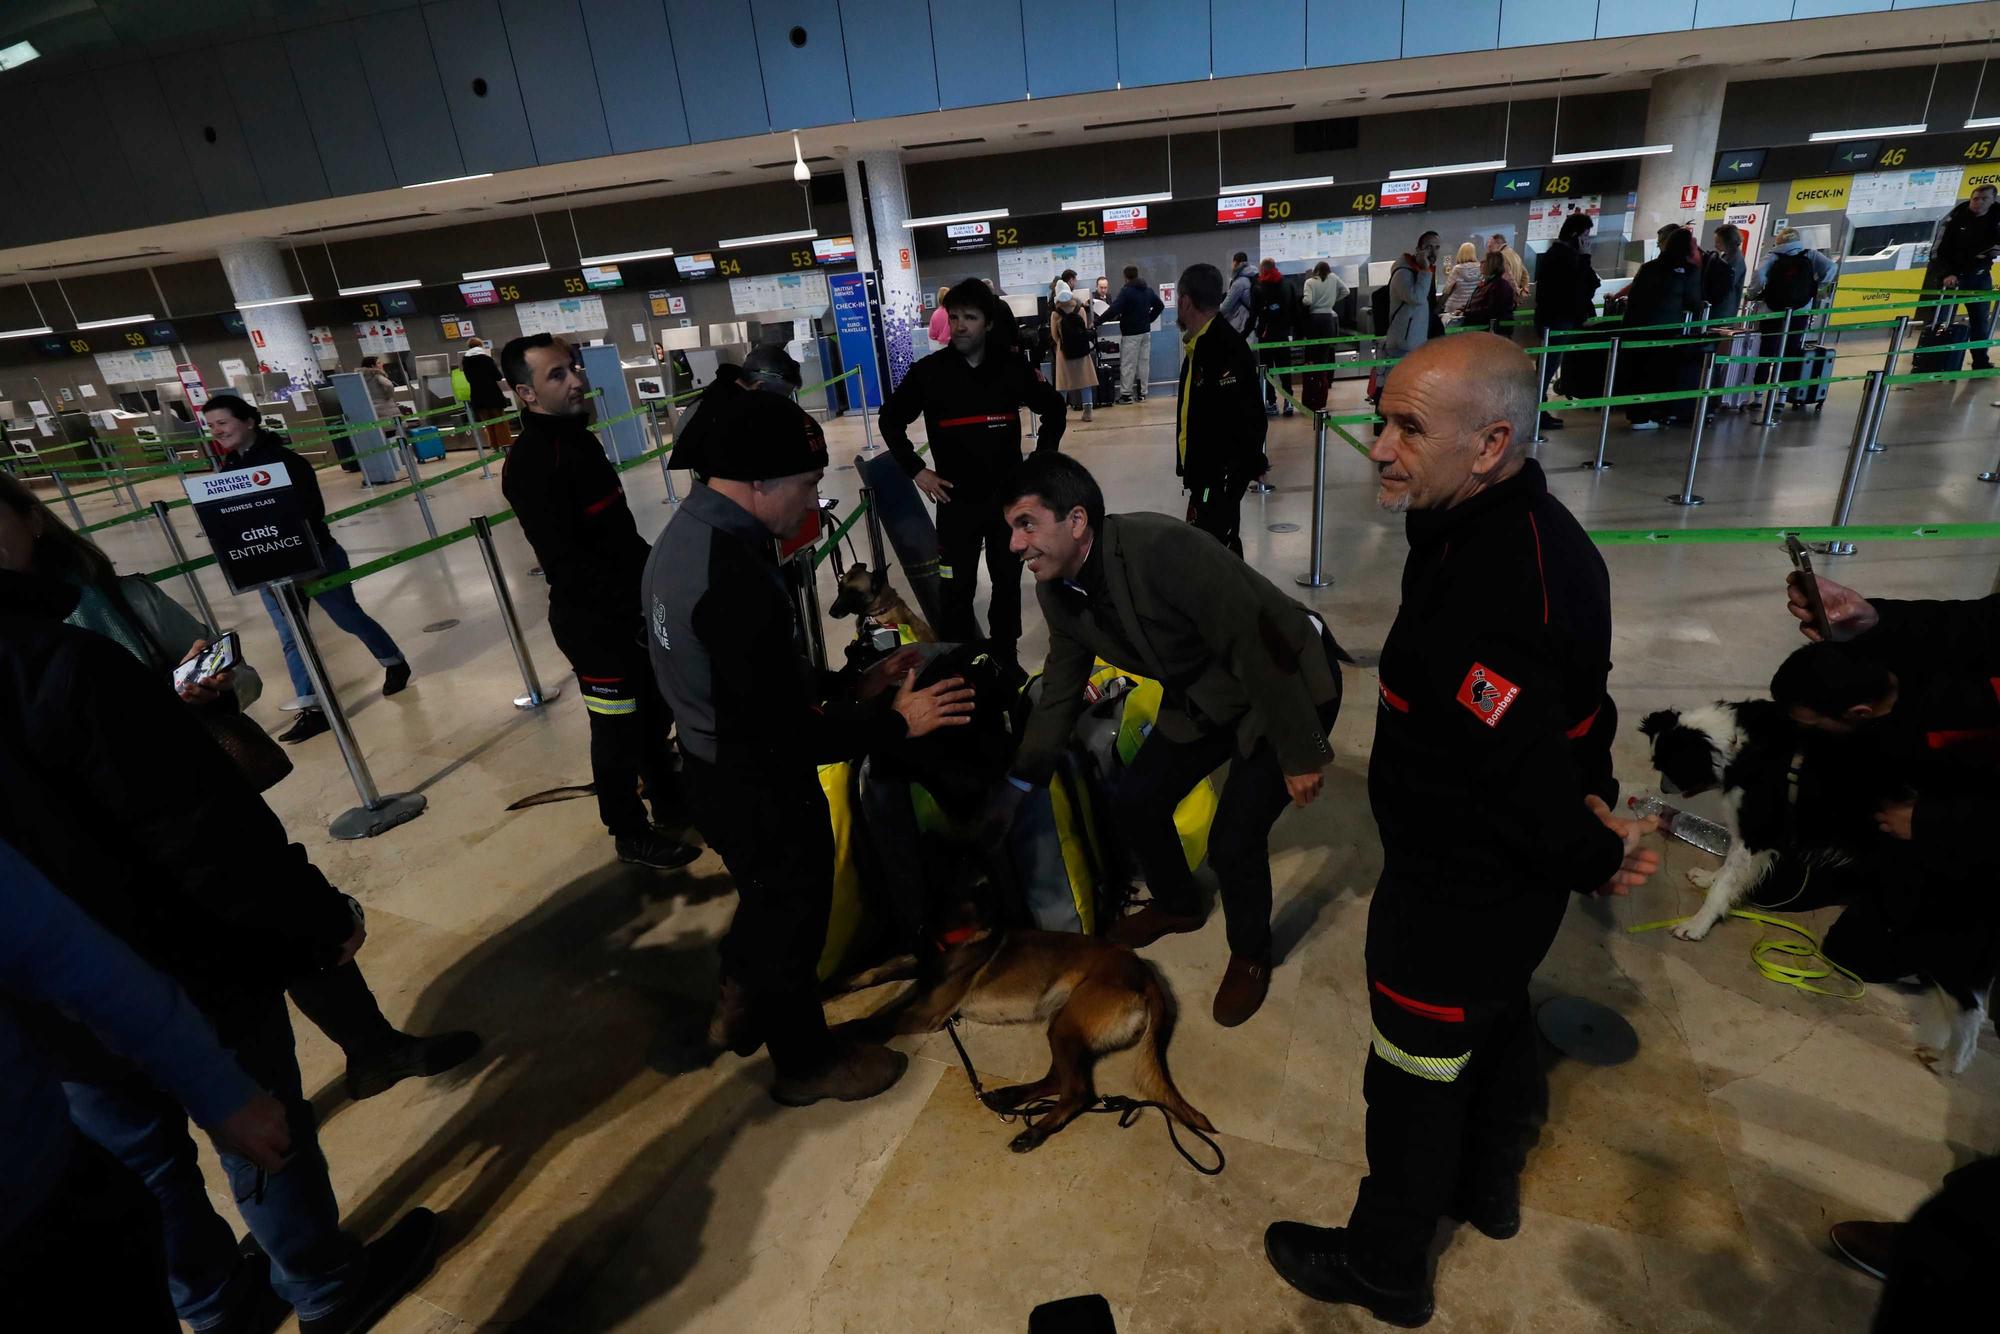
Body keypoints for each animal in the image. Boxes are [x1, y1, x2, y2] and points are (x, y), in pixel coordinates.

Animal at [836, 924, 1208, 1152]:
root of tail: (1146, 974)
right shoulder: (921, 991)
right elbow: (886, 991)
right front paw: (854, 983)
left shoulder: (926, 1013)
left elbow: (874, 1022)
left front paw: (835, 1035)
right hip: (1064, 1023)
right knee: (1058, 1079)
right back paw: (1008, 1096)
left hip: (1065, 1025)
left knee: (1077, 1091)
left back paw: (1034, 1131)